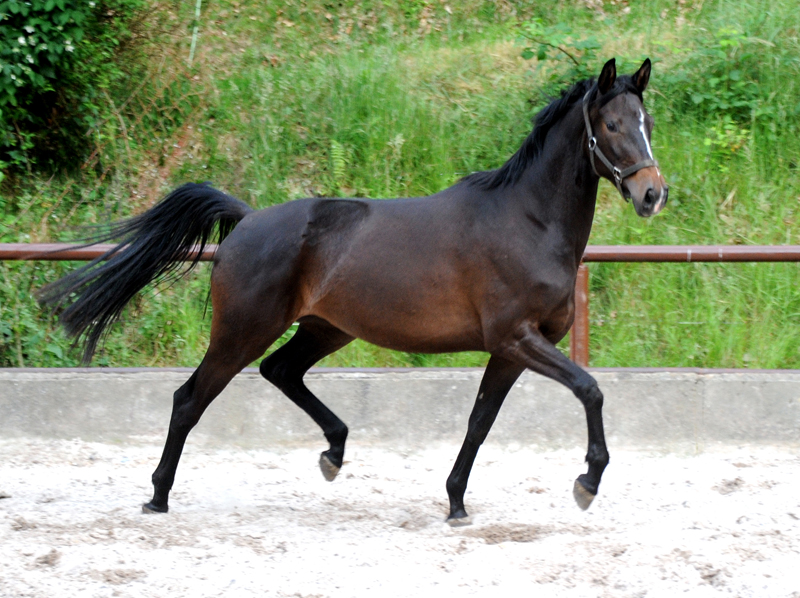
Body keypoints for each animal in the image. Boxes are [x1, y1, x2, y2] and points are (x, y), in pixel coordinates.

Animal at [43, 57, 668, 524]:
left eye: (648, 123)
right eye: (612, 126)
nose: (653, 194)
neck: (527, 222)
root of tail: (247, 219)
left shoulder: (510, 350)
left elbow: (479, 422)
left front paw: (456, 503)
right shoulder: (518, 338)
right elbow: (590, 390)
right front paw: (587, 481)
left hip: (326, 329)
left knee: (280, 371)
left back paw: (334, 451)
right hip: (242, 331)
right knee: (189, 399)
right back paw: (158, 497)